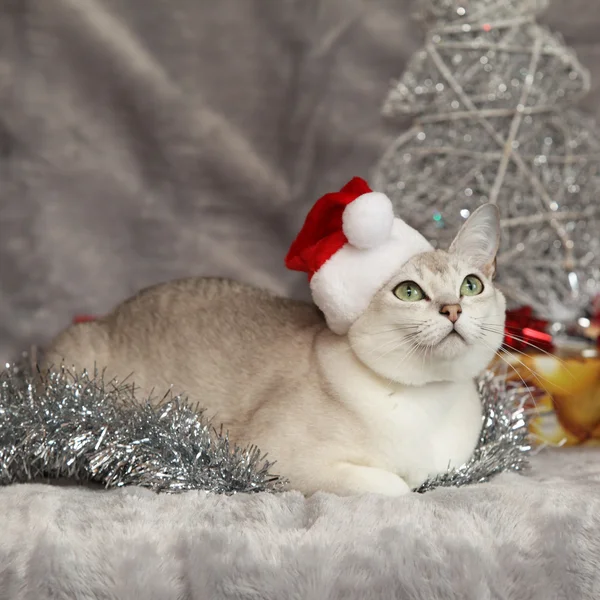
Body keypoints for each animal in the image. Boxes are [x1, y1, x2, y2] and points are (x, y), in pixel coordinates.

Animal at [42, 198, 504, 496]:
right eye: (409, 292)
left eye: (471, 286)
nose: (452, 310)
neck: (429, 401)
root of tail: (108, 314)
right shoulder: (278, 460)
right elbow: (398, 487)